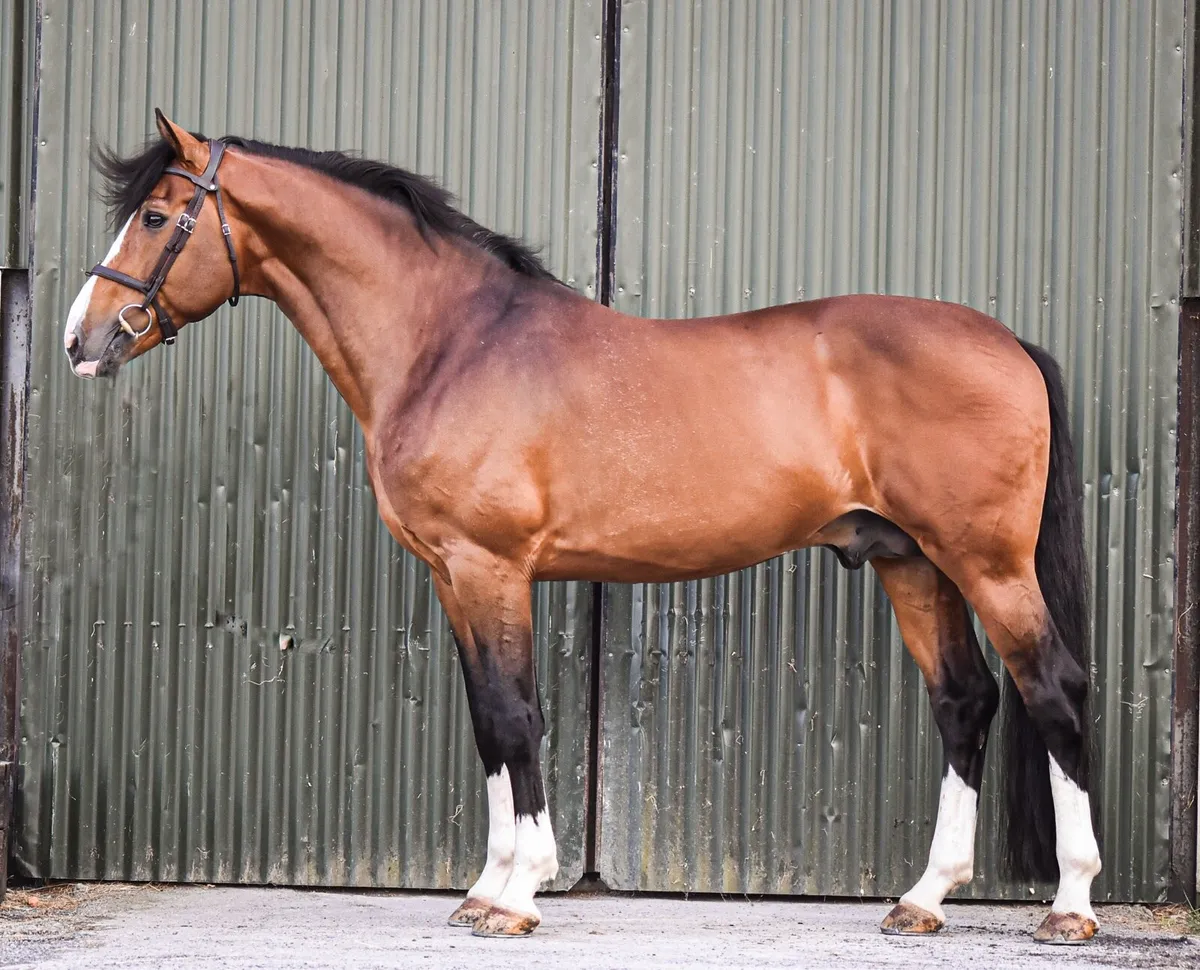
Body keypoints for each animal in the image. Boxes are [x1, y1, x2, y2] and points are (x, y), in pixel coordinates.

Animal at [63, 110, 1102, 943]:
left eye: (155, 215)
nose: (81, 339)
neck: (451, 345)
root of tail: (1007, 342)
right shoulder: (452, 575)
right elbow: (488, 720)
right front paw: (484, 889)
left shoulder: (492, 567)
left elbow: (516, 716)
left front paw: (520, 894)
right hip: (911, 563)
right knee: (964, 703)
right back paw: (924, 898)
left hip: (986, 562)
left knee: (1050, 691)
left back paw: (1070, 906)